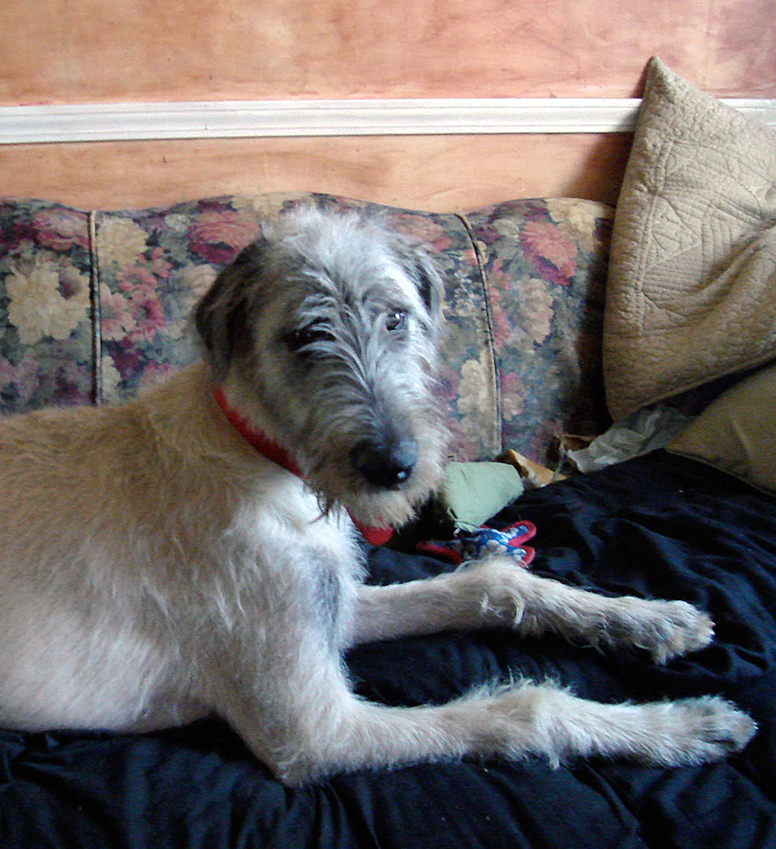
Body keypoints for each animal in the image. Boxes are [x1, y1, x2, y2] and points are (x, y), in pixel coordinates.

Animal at [0, 207, 756, 785]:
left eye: (396, 318)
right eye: (306, 335)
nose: (396, 467)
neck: (263, 460)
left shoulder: (332, 607)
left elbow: (490, 582)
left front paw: (647, 619)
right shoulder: (313, 731)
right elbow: (526, 709)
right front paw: (681, 724)